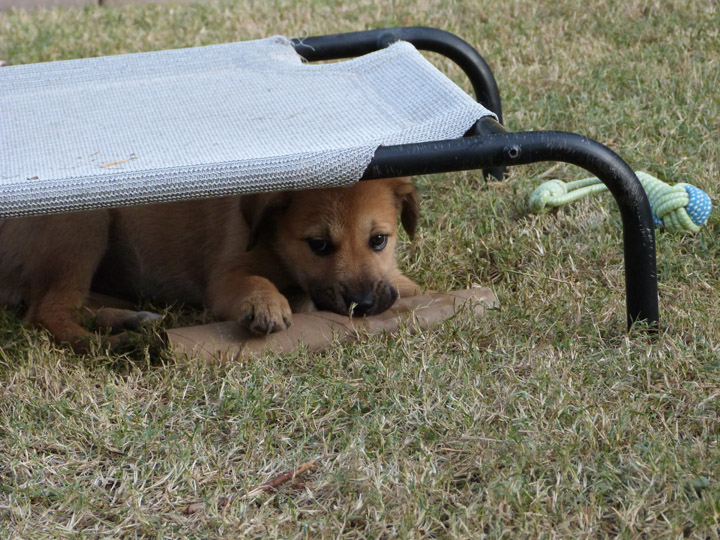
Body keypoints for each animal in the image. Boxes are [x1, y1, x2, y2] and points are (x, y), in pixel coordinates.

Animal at [0, 177, 422, 350]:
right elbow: (255, 282)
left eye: (379, 240)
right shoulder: (226, 276)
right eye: (318, 245)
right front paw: (267, 303)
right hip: (82, 223)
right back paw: (114, 345)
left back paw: (132, 318)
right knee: (48, 313)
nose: (364, 306)